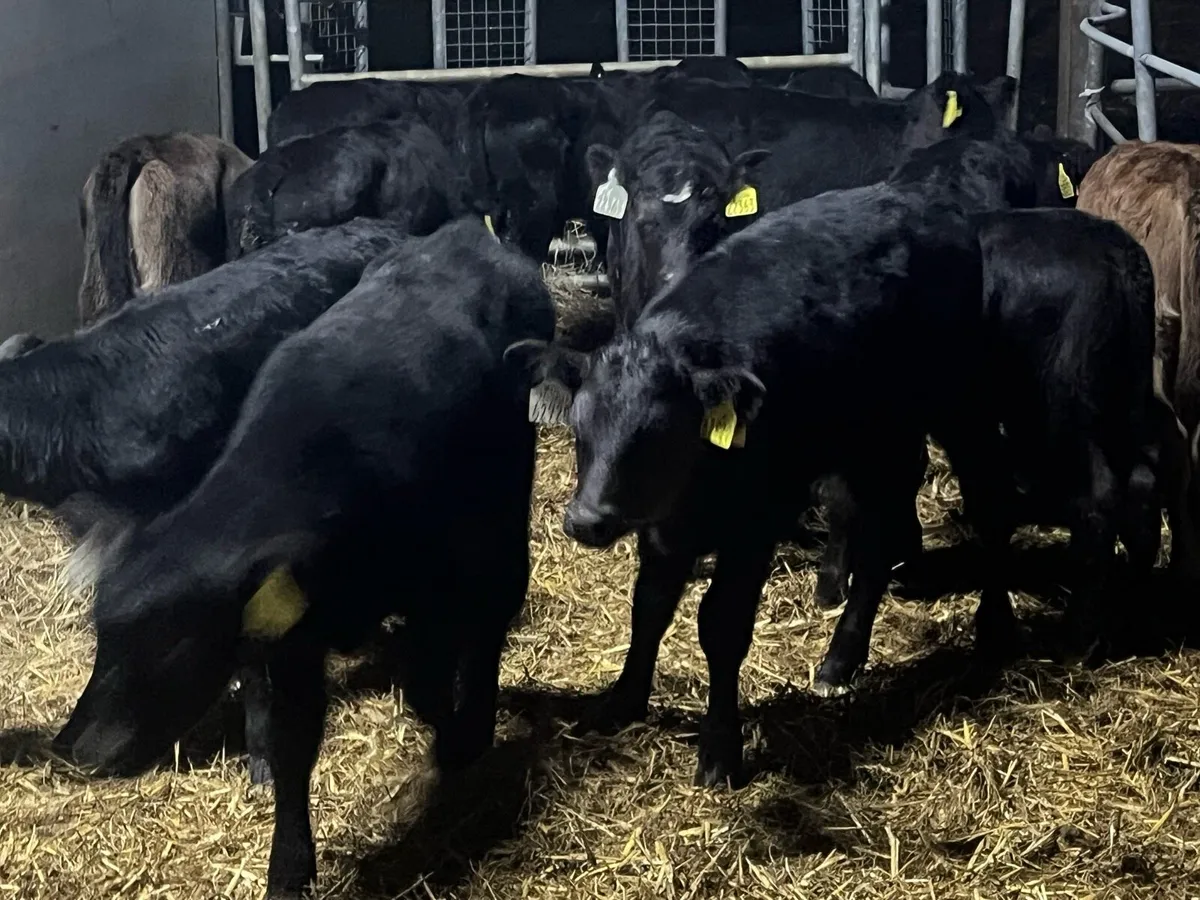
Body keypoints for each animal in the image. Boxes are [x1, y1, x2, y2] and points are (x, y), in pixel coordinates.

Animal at [55, 218, 555, 899]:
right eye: (102, 638)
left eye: (172, 642)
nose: (77, 750)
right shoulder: (292, 644)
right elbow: (294, 745)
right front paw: (288, 867)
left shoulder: (441, 581)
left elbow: (436, 676)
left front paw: (461, 742)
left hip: (504, 502)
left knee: (497, 605)